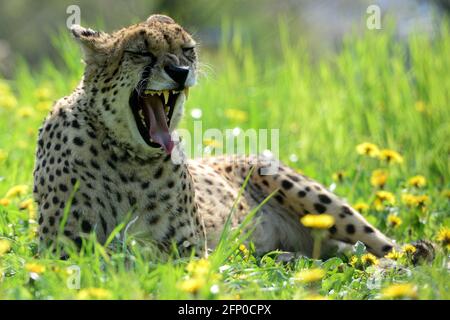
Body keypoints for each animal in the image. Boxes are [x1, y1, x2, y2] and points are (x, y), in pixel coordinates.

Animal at [32, 13, 432, 262]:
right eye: (141, 52)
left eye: (187, 50)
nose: (181, 71)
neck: (127, 155)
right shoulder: (63, 248)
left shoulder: (188, 249)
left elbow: (145, 254)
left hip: (307, 194)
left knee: (384, 248)